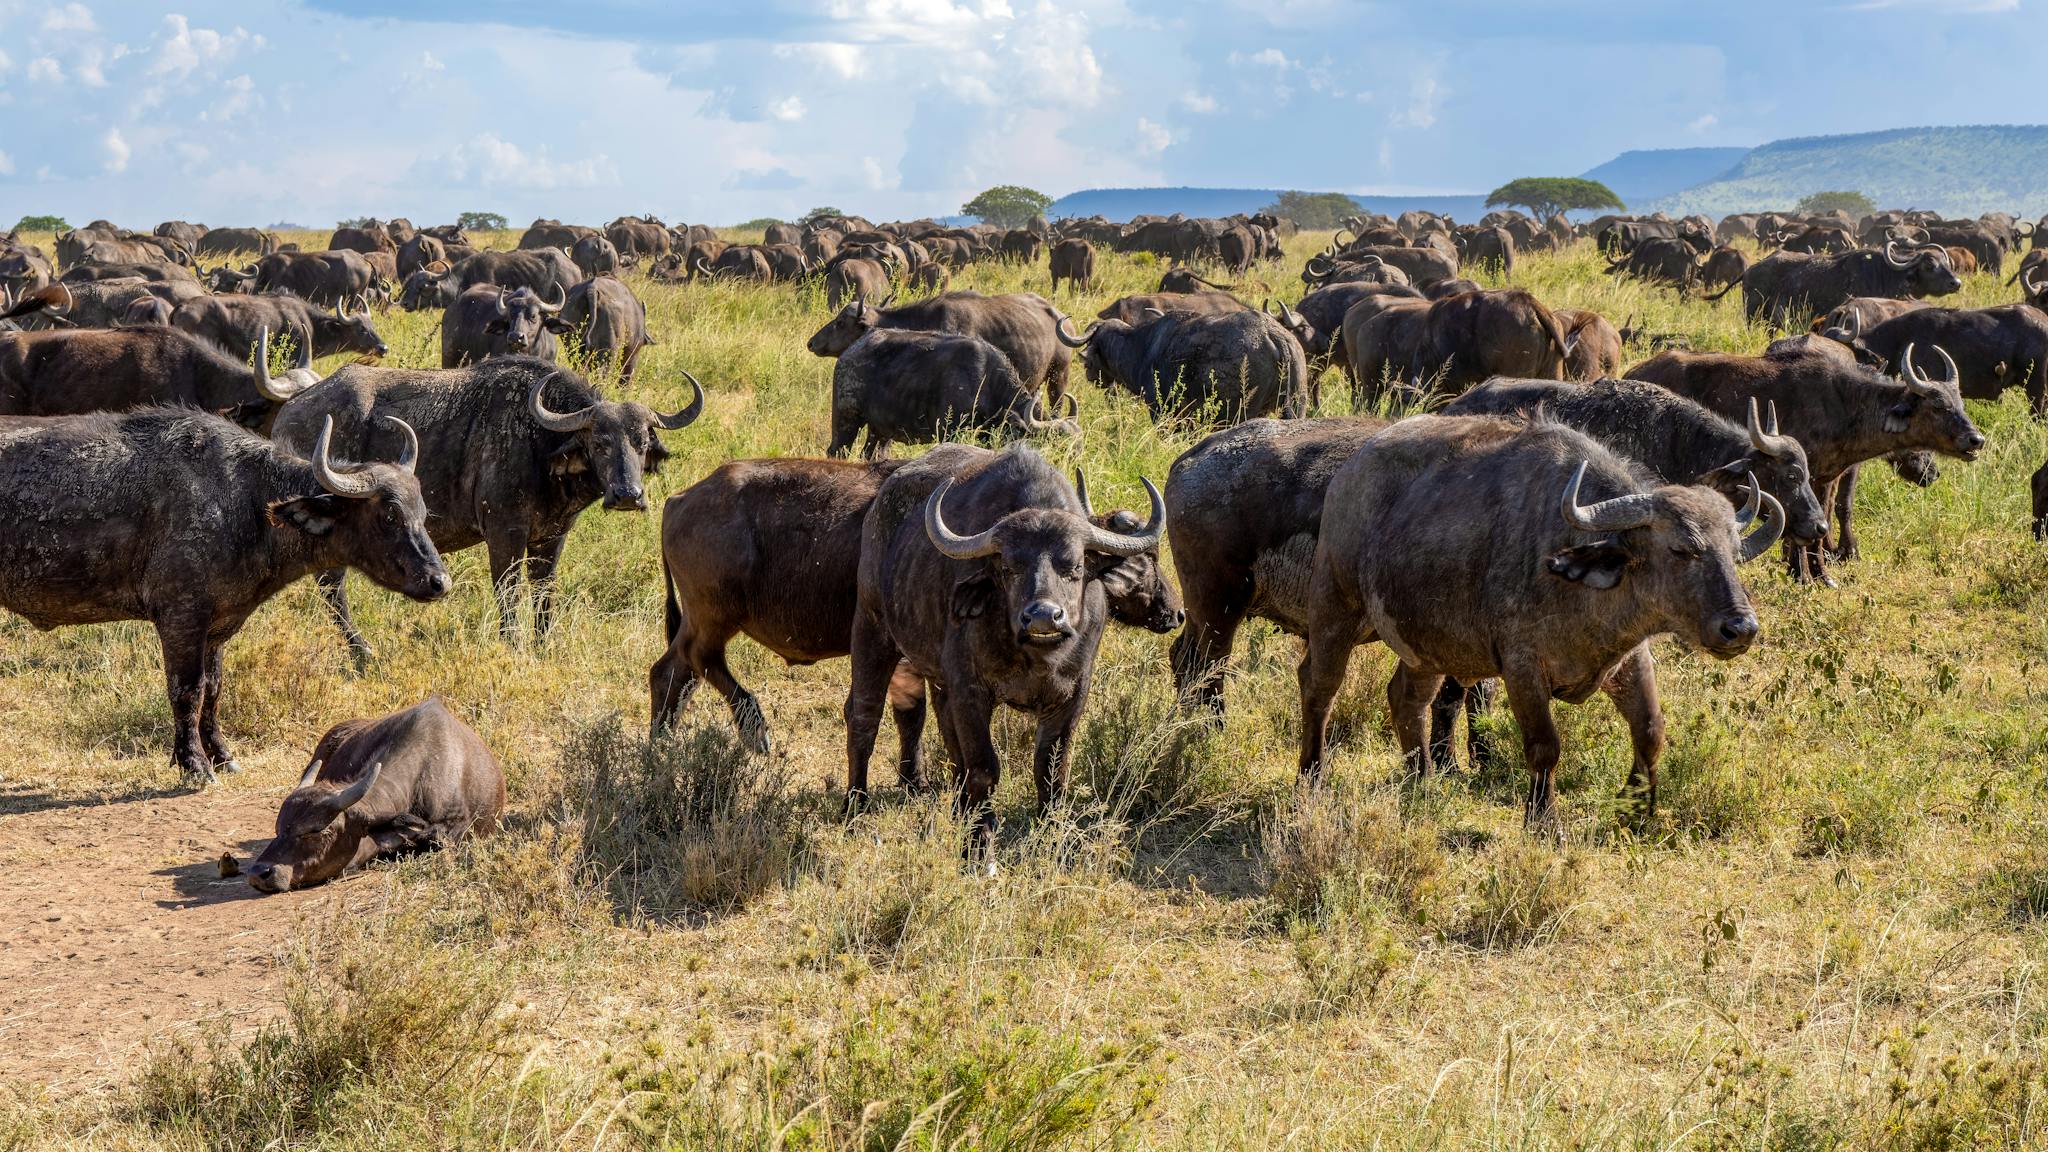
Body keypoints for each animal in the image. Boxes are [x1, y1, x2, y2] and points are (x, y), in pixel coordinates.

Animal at [0, 405, 446, 778]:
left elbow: (214, 690)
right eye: (389, 516)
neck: (246, 502)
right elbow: (187, 690)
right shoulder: (181, 618)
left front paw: (221, 754)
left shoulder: (217, 626)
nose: (439, 581)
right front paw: (194, 763)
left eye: (422, 511)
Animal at [272, 354, 708, 651]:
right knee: (332, 587)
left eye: (642, 442)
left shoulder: (552, 537)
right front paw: (513, 645)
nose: (627, 495)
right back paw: (361, 651)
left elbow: (544, 594)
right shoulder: (504, 533)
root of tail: (292, 409)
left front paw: (543, 645)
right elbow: (508, 593)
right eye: (599, 442)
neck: (539, 443)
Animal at [847, 444, 1171, 856]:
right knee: (864, 717)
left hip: (935, 674)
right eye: (1009, 568)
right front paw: (978, 842)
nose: (1044, 616)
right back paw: (854, 809)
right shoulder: (971, 690)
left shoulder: (1072, 695)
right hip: (872, 629)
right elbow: (984, 766)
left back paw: (957, 807)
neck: (1035, 658)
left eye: (1075, 566)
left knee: (942, 727)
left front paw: (1052, 836)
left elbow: (1051, 770)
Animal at [1302, 416, 1785, 819]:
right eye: (1682, 549)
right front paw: (1543, 819)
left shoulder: (1630, 658)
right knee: (1319, 687)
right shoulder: (1522, 668)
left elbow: (1650, 731)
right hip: (1335, 609)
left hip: (1425, 645)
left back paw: (1421, 780)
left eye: (1733, 551)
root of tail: (1348, 473)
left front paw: (1635, 811)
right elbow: (1544, 746)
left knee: (1406, 697)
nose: (1740, 628)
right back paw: (1312, 776)